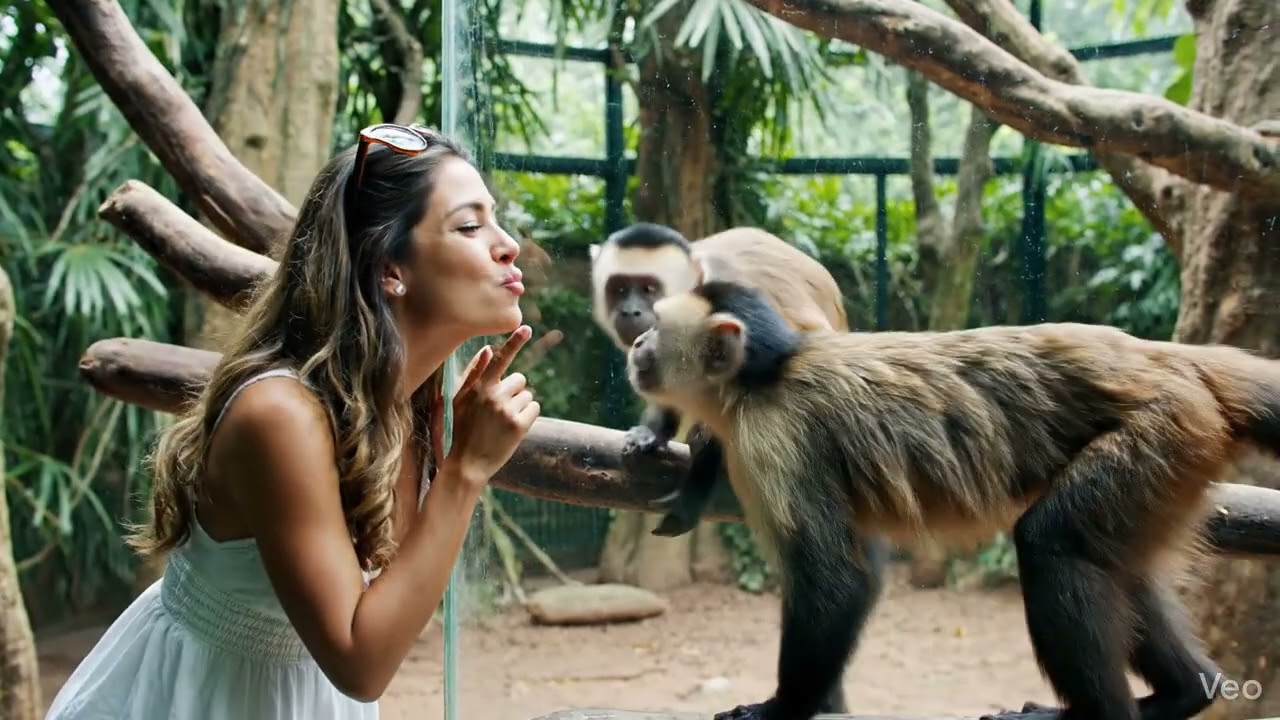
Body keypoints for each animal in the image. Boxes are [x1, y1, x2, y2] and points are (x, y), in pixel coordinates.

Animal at [624, 279, 1280, 720]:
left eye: (657, 328)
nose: (638, 342)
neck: (766, 376)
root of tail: (1171, 359)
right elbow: (865, 567)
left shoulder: (772, 435)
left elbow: (838, 579)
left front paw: (782, 709)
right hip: (1177, 453)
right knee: (1118, 564)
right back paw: (1185, 693)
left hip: (1163, 427)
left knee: (1051, 542)